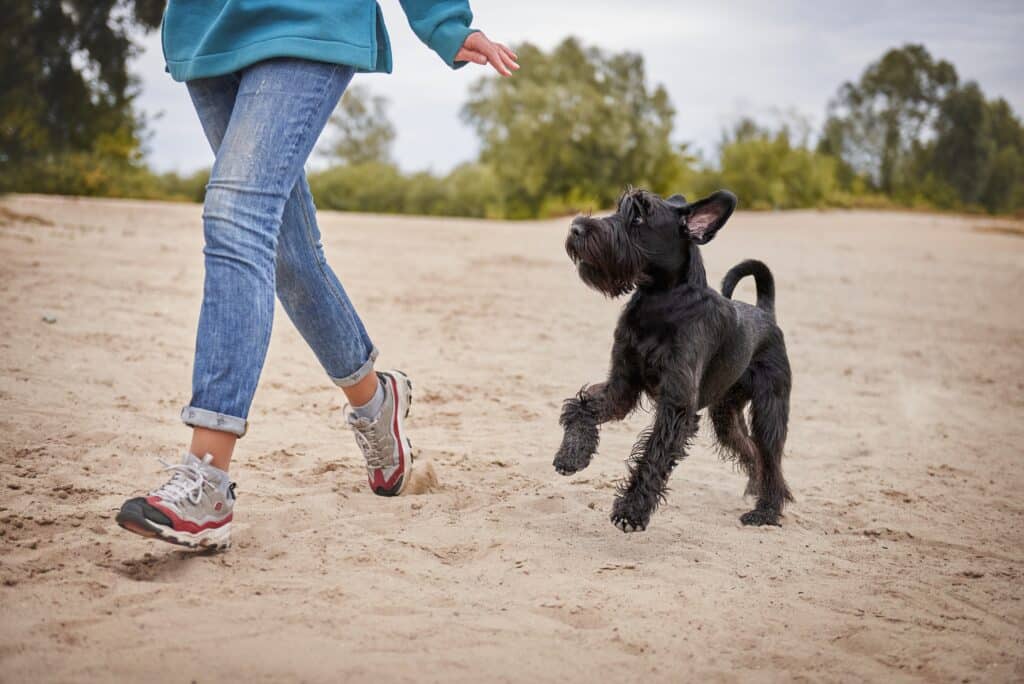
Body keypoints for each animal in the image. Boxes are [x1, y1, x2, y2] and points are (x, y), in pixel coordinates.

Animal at [552, 189, 790, 532]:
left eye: (638, 217)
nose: (576, 228)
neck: (659, 304)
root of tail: (765, 314)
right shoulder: (621, 386)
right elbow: (580, 407)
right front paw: (572, 455)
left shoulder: (676, 406)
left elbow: (654, 455)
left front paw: (631, 511)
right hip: (726, 415)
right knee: (751, 450)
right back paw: (757, 491)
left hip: (770, 411)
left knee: (771, 459)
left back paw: (766, 511)